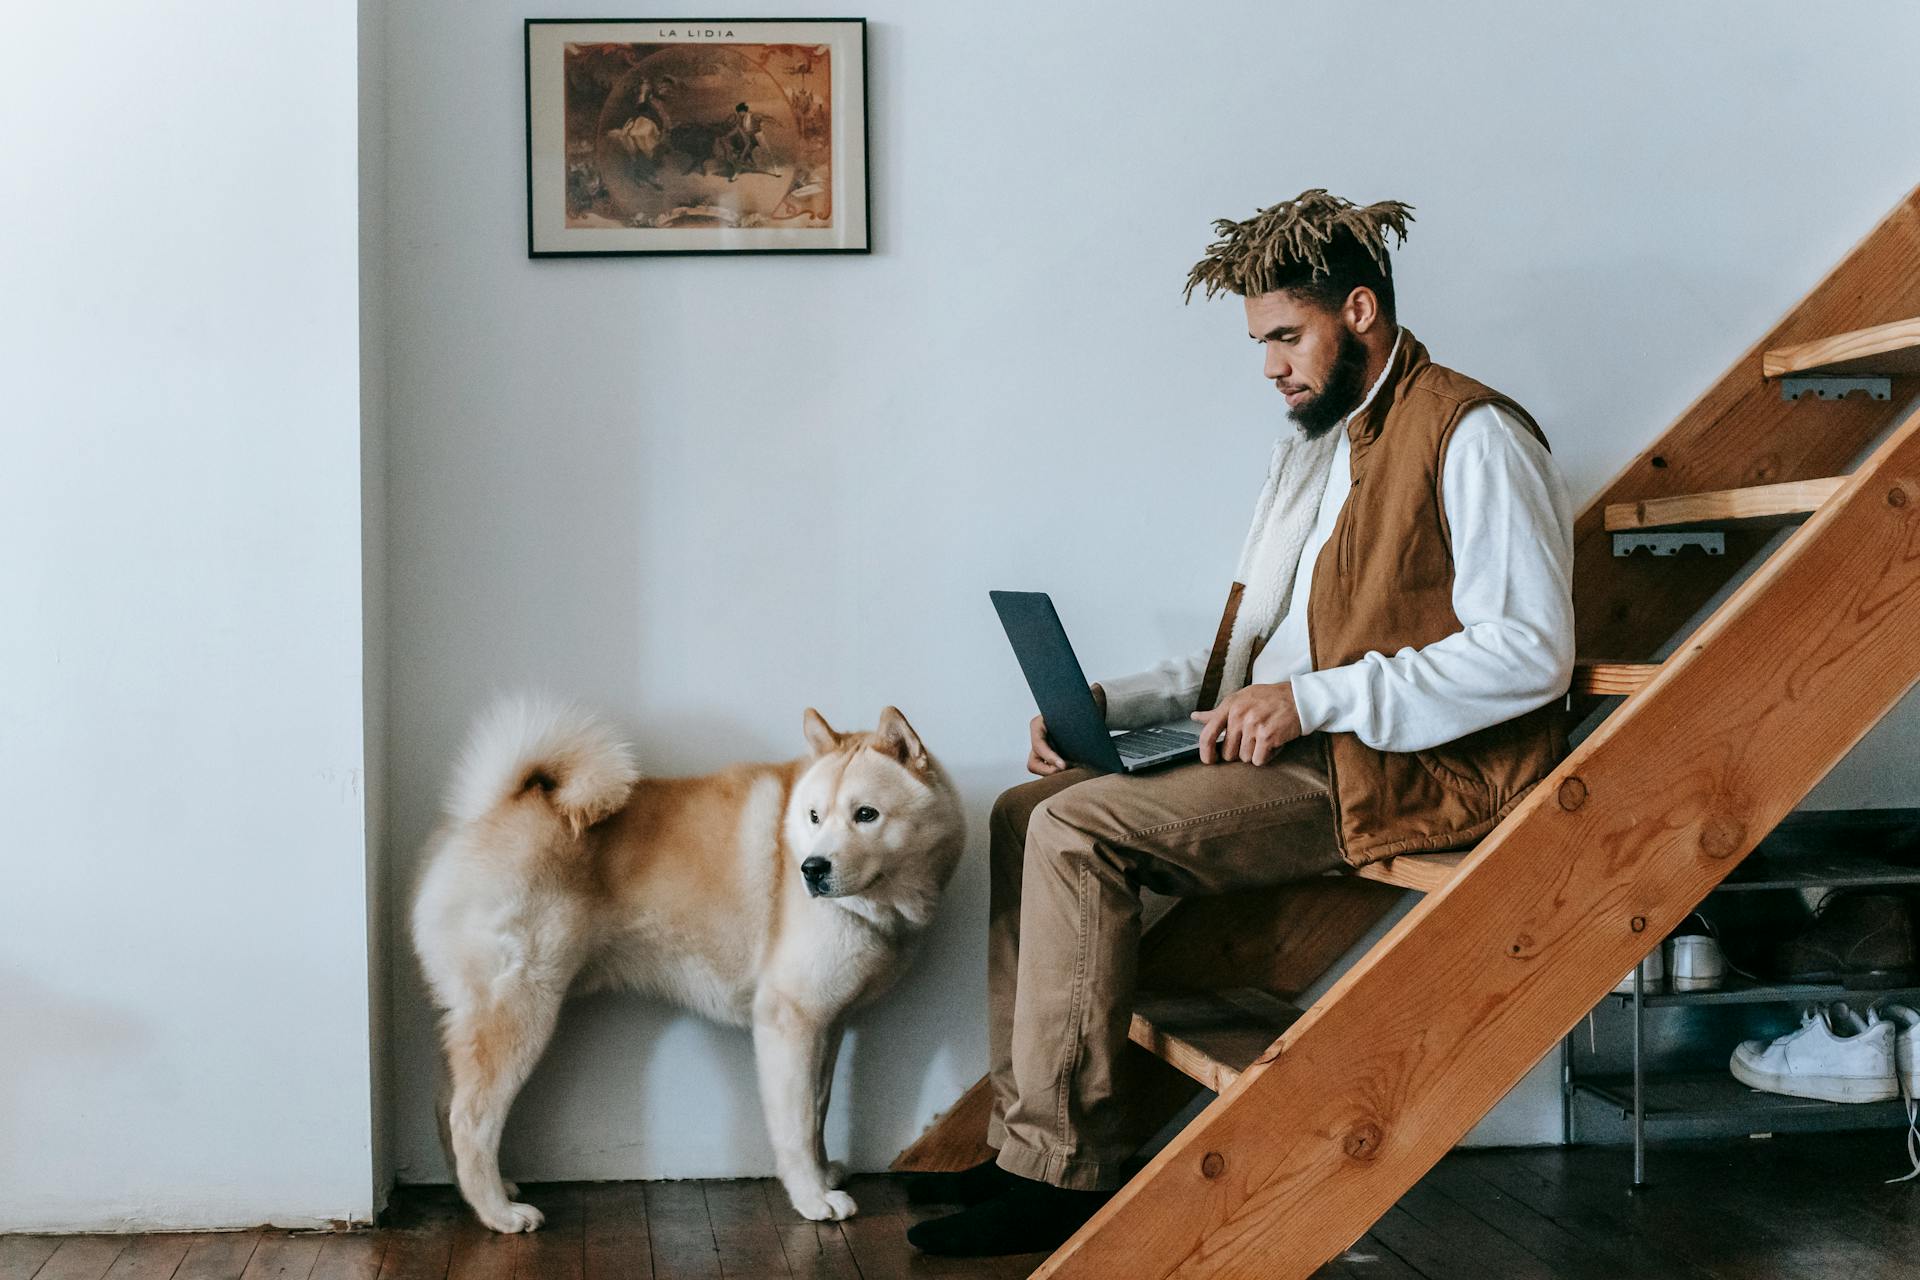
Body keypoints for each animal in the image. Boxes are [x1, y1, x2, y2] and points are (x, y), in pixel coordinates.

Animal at [410, 702, 967, 1228]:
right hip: (522, 1012)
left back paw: (478, 1196)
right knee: (470, 1120)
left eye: (866, 814)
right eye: (814, 817)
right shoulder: (790, 1022)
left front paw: (824, 1172)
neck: (881, 905)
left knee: (445, 1107)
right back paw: (498, 1213)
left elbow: (817, 1113)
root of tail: (487, 809)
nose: (811, 869)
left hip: (475, 1020)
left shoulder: (827, 1027)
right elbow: (795, 1126)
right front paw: (812, 1197)